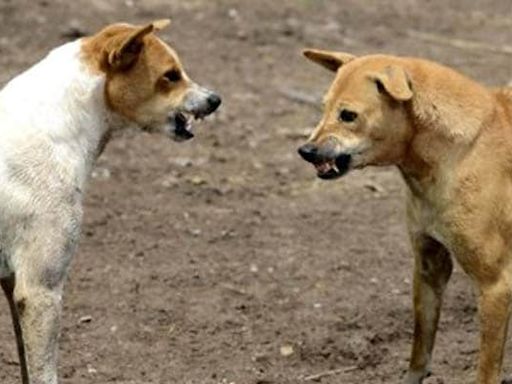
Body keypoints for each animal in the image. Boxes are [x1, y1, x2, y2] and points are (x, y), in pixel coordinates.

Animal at [298, 48, 512, 384]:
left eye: (348, 115)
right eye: (324, 108)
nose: (305, 151)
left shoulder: (495, 285)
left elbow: (487, 370)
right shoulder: (429, 266)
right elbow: (420, 348)